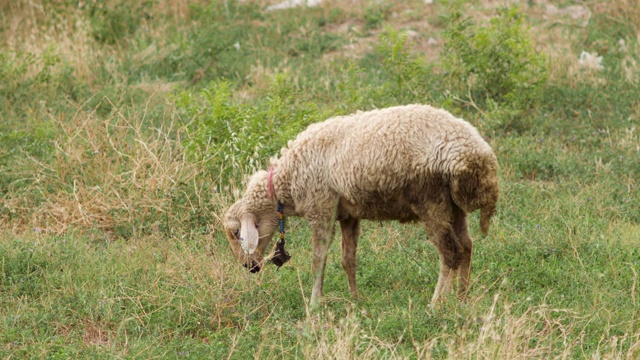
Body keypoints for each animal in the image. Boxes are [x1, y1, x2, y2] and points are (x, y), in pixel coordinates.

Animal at [222, 103, 498, 306]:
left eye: (236, 232)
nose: (248, 267)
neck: (285, 182)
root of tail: (477, 155)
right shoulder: (348, 215)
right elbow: (348, 259)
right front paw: (356, 300)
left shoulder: (322, 209)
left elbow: (318, 260)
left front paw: (314, 303)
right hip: (454, 206)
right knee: (467, 247)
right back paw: (462, 297)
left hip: (432, 202)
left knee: (451, 253)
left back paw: (437, 302)